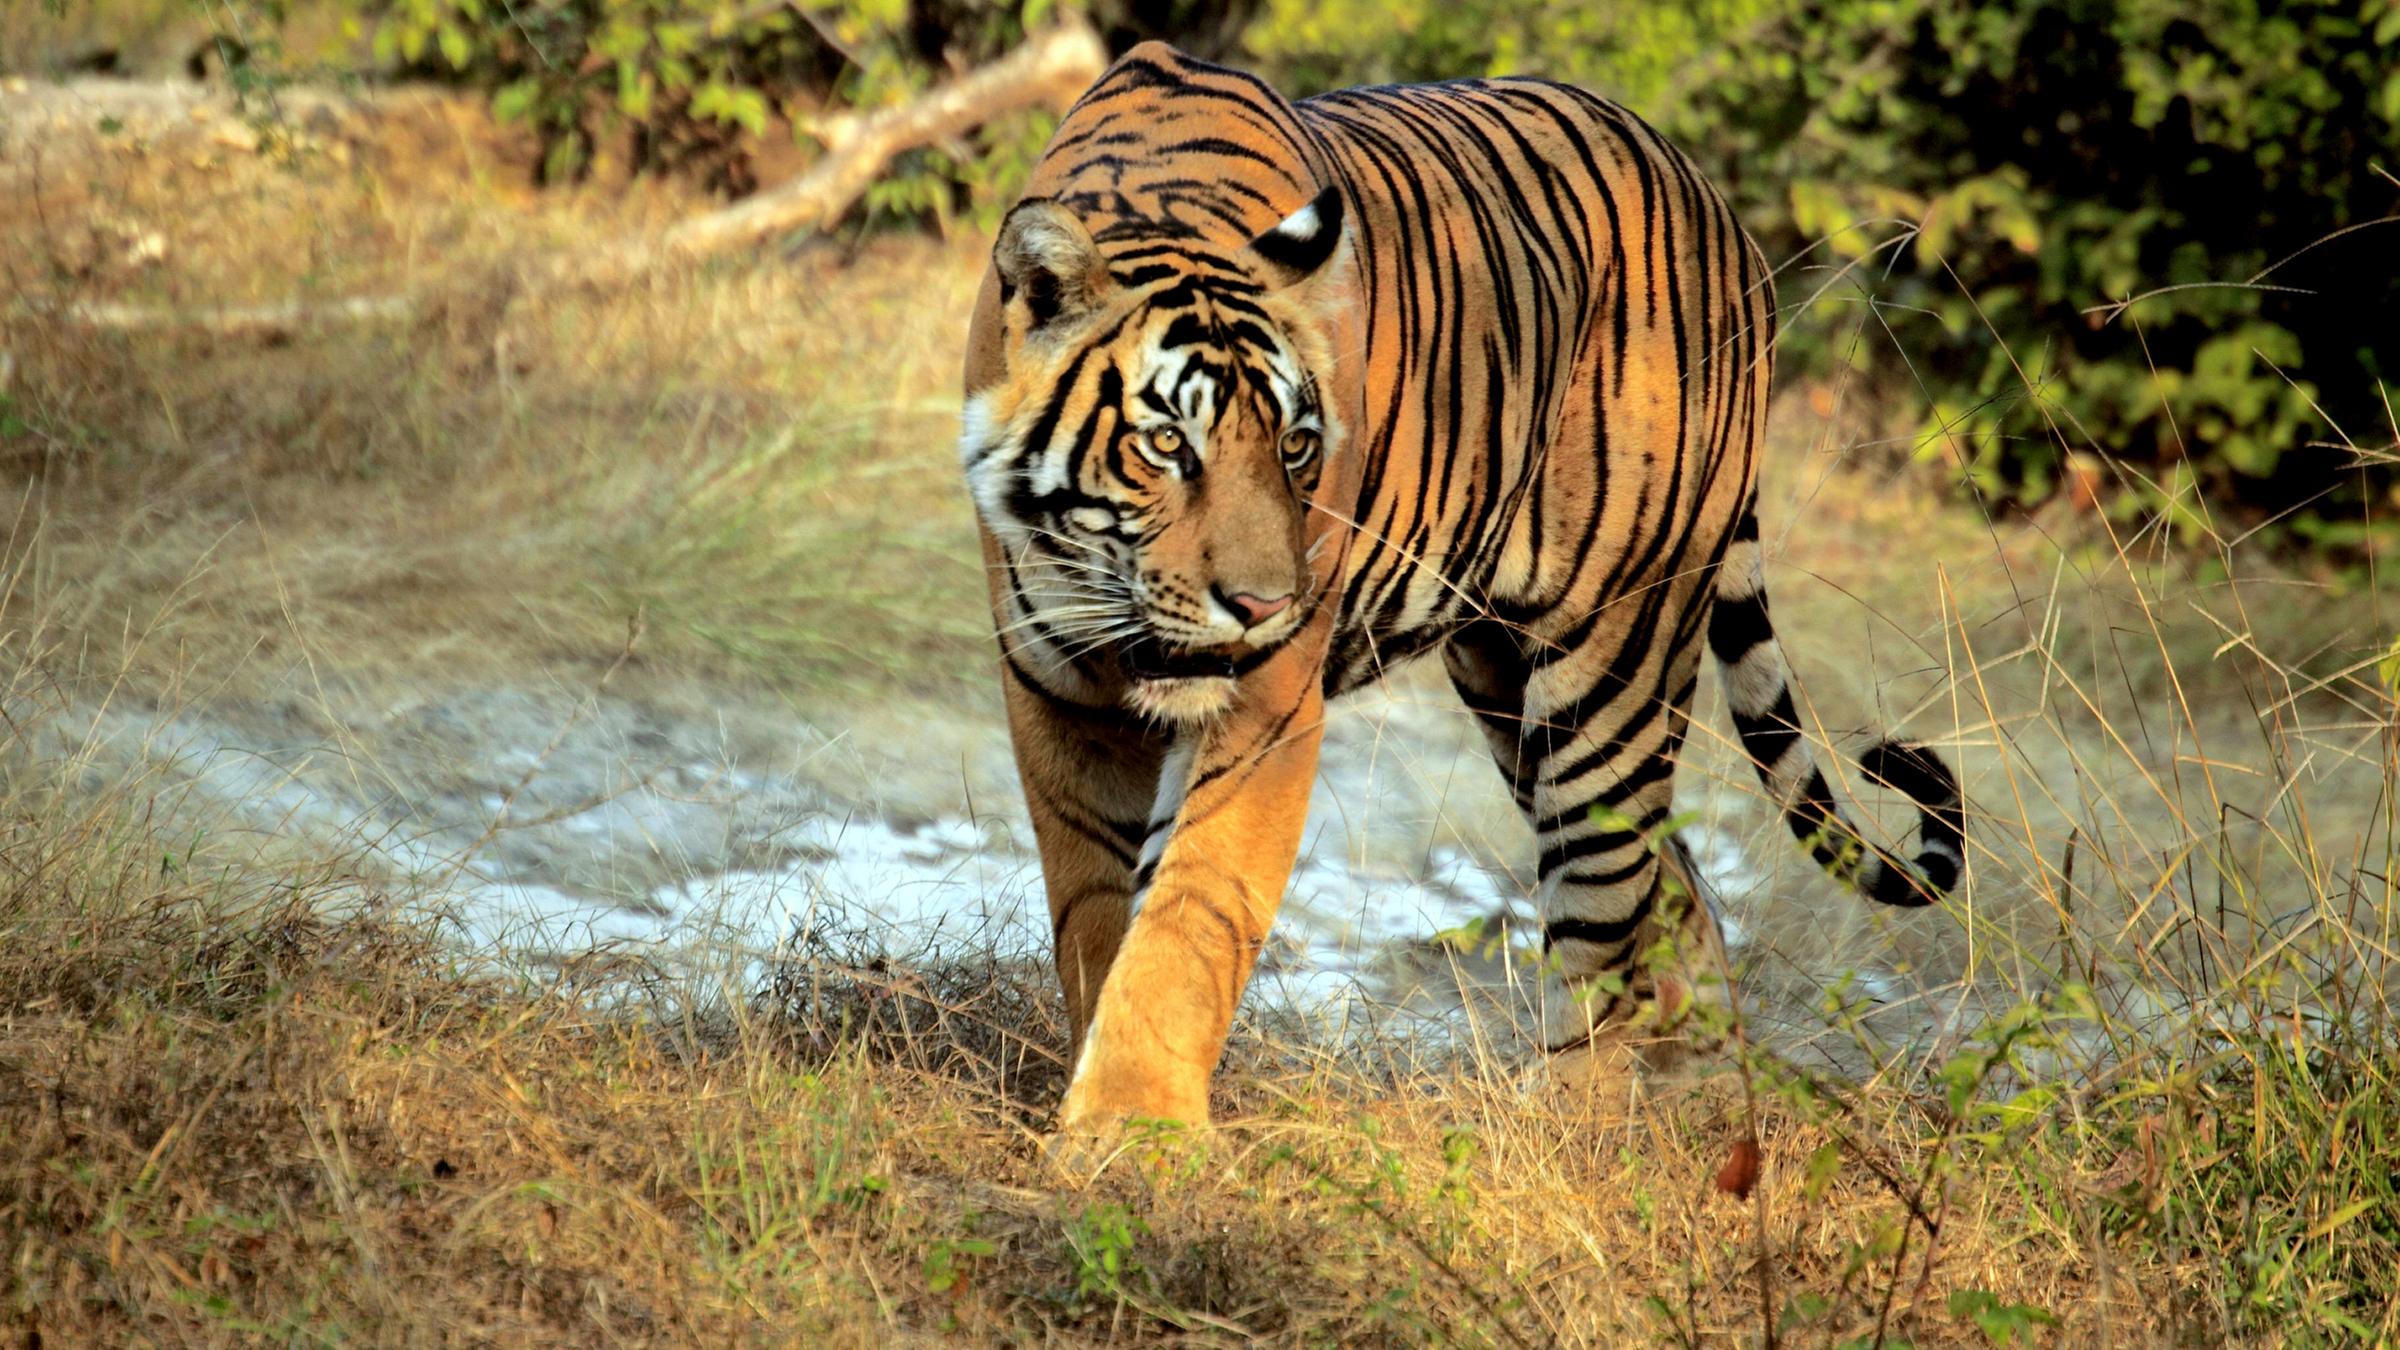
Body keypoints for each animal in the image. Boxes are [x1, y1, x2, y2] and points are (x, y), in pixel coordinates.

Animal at [958, 42, 1966, 1130]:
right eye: (1165, 445)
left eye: (1295, 447)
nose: (1265, 607)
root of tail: (1720, 210)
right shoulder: (1058, 697)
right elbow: (1096, 916)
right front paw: (1104, 1096)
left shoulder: (1267, 709)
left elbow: (1187, 917)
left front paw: (1132, 1130)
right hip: (1498, 673)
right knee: (1680, 889)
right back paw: (1700, 1107)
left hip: (1615, 660)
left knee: (1608, 911)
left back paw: (1563, 1124)